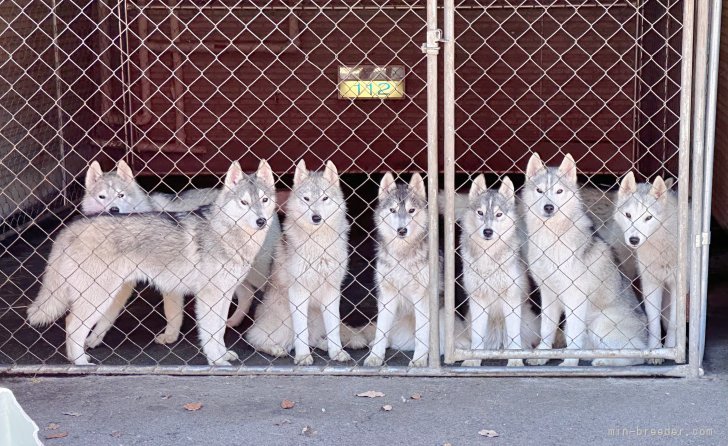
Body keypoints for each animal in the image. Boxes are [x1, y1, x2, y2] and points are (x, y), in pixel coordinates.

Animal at [28, 160, 276, 366]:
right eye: (244, 202)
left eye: (264, 200)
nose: (261, 221)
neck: (226, 233)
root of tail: (70, 228)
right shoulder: (208, 298)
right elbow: (209, 332)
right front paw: (217, 361)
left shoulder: (221, 296)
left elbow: (218, 331)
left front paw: (222, 355)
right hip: (98, 297)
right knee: (71, 326)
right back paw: (80, 364)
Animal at [524, 153, 648, 366]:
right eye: (539, 190)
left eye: (559, 191)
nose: (549, 207)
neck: (552, 237)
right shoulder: (548, 294)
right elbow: (546, 330)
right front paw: (542, 354)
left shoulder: (575, 297)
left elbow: (574, 335)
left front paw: (570, 363)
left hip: (601, 323)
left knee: (635, 356)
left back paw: (603, 362)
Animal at [616, 172, 684, 362]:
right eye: (628, 215)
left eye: (648, 218)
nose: (634, 240)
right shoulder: (651, 283)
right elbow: (653, 321)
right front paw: (654, 351)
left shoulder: (676, 285)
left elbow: (674, 323)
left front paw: (671, 349)